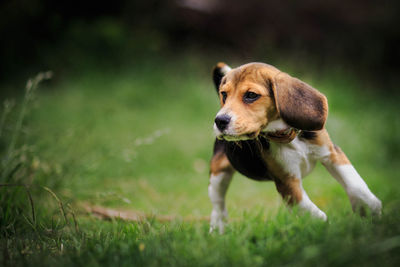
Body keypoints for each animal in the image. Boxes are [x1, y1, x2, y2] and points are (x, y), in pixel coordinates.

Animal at [209, 62, 382, 234]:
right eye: (224, 95)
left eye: (251, 95)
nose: (219, 120)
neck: (288, 136)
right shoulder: (287, 181)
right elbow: (314, 214)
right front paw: (325, 230)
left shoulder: (331, 153)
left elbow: (356, 185)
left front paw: (369, 209)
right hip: (218, 172)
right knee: (217, 203)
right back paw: (217, 228)